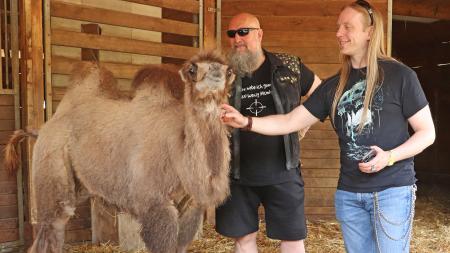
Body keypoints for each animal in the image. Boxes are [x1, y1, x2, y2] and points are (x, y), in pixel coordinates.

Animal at [4, 51, 236, 253]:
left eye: (229, 71)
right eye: (191, 69)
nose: (218, 72)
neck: (178, 150)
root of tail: (43, 127)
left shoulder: (191, 206)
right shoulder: (155, 204)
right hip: (53, 166)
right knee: (52, 225)